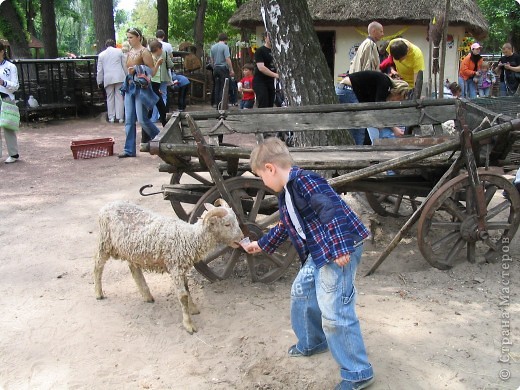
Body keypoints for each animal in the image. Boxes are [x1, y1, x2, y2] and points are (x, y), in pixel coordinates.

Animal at [94, 200, 244, 334]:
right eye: (227, 224)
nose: (242, 238)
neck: (189, 237)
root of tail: (107, 205)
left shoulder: (181, 268)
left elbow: (187, 290)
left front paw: (193, 308)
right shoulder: (175, 267)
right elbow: (183, 296)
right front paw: (189, 324)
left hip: (131, 250)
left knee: (133, 268)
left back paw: (147, 295)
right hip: (105, 242)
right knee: (97, 266)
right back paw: (98, 293)